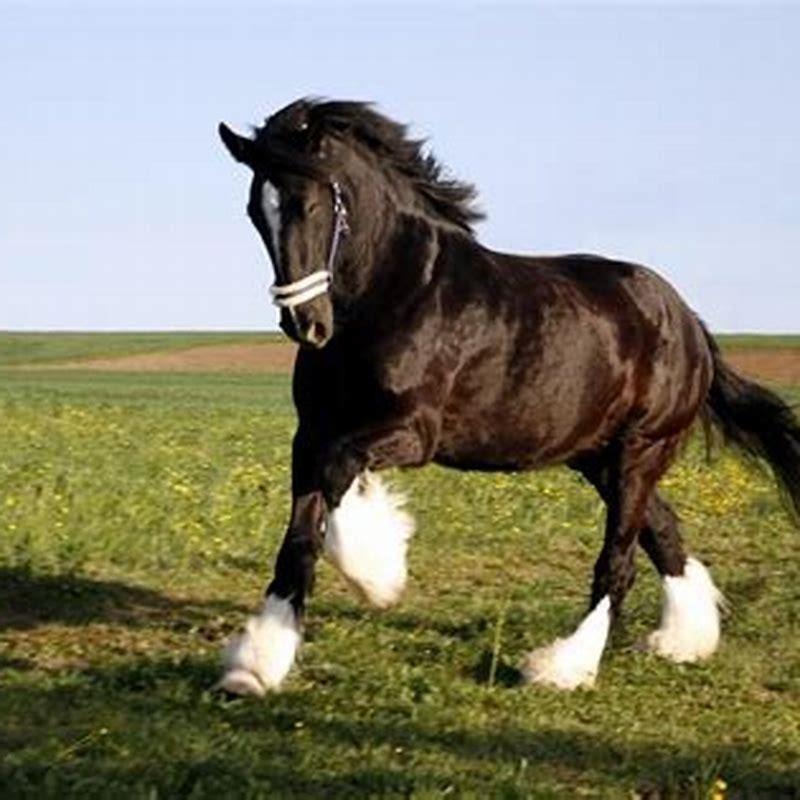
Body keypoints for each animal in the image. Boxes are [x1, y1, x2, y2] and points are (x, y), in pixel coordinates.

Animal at [216, 98, 800, 695]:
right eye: (255, 211)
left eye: (309, 203)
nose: (305, 324)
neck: (394, 291)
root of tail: (690, 324)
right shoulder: (311, 433)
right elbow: (299, 537)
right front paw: (253, 667)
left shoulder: (412, 431)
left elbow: (337, 483)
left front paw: (379, 573)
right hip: (600, 458)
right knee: (663, 532)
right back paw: (683, 641)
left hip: (641, 449)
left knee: (620, 560)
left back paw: (563, 667)